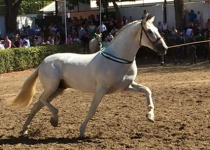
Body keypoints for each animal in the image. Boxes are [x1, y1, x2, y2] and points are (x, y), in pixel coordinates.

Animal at [8, 14, 168, 138]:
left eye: (157, 29)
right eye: (149, 31)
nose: (164, 49)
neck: (118, 58)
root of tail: (42, 62)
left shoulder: (126, 86)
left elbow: (147, 90)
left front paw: (150, 116)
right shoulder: (101, 89)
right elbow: (92, 110)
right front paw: (81, 131)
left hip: (58, 89)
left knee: (38, 105)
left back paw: (25, 130)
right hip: (52, 87)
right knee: (41, 100)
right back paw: (53, 119)